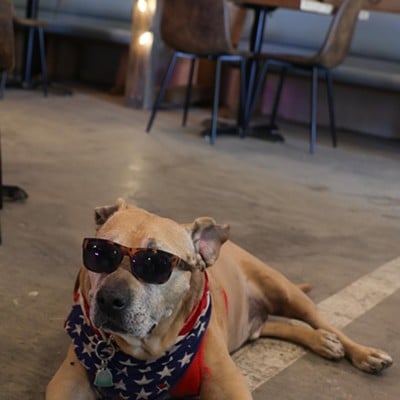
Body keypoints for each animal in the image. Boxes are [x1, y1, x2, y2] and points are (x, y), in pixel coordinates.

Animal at [46, 198, 390, 398]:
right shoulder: (67, 382)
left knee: (326, 323)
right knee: (280, 326)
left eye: (156, 263)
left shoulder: (229, 384)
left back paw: (363, 353)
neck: (146, 355)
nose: (109, 299)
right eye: (98, 253)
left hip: (286, 293)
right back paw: (322, 342)